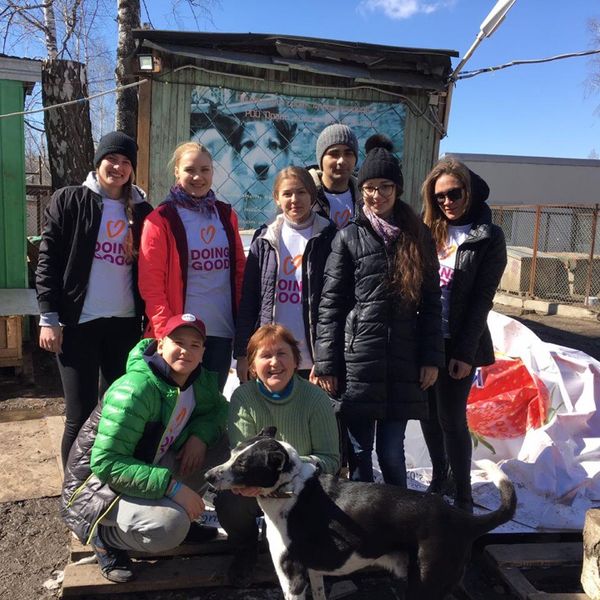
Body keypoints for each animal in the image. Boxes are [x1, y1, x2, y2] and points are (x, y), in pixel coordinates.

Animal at [206, 426, 516, 600]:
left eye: (243, 464)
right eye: (232, 452)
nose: (208, 476)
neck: (289, 490)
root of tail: (463, 519)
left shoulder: (292, 578)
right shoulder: (313, 573)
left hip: (424, 587)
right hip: (444, 582)